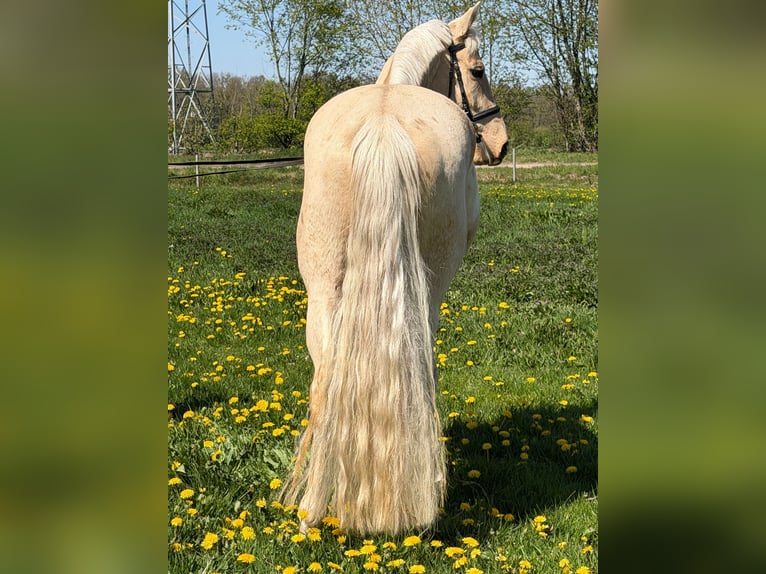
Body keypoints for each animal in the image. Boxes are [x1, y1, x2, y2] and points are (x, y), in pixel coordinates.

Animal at [283, 3, 509, 535]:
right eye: (477, 70)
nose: (501, 142)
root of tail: (382, 127)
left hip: (323, 292)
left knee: (327, 380)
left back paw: (312, 508)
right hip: (428, 288)